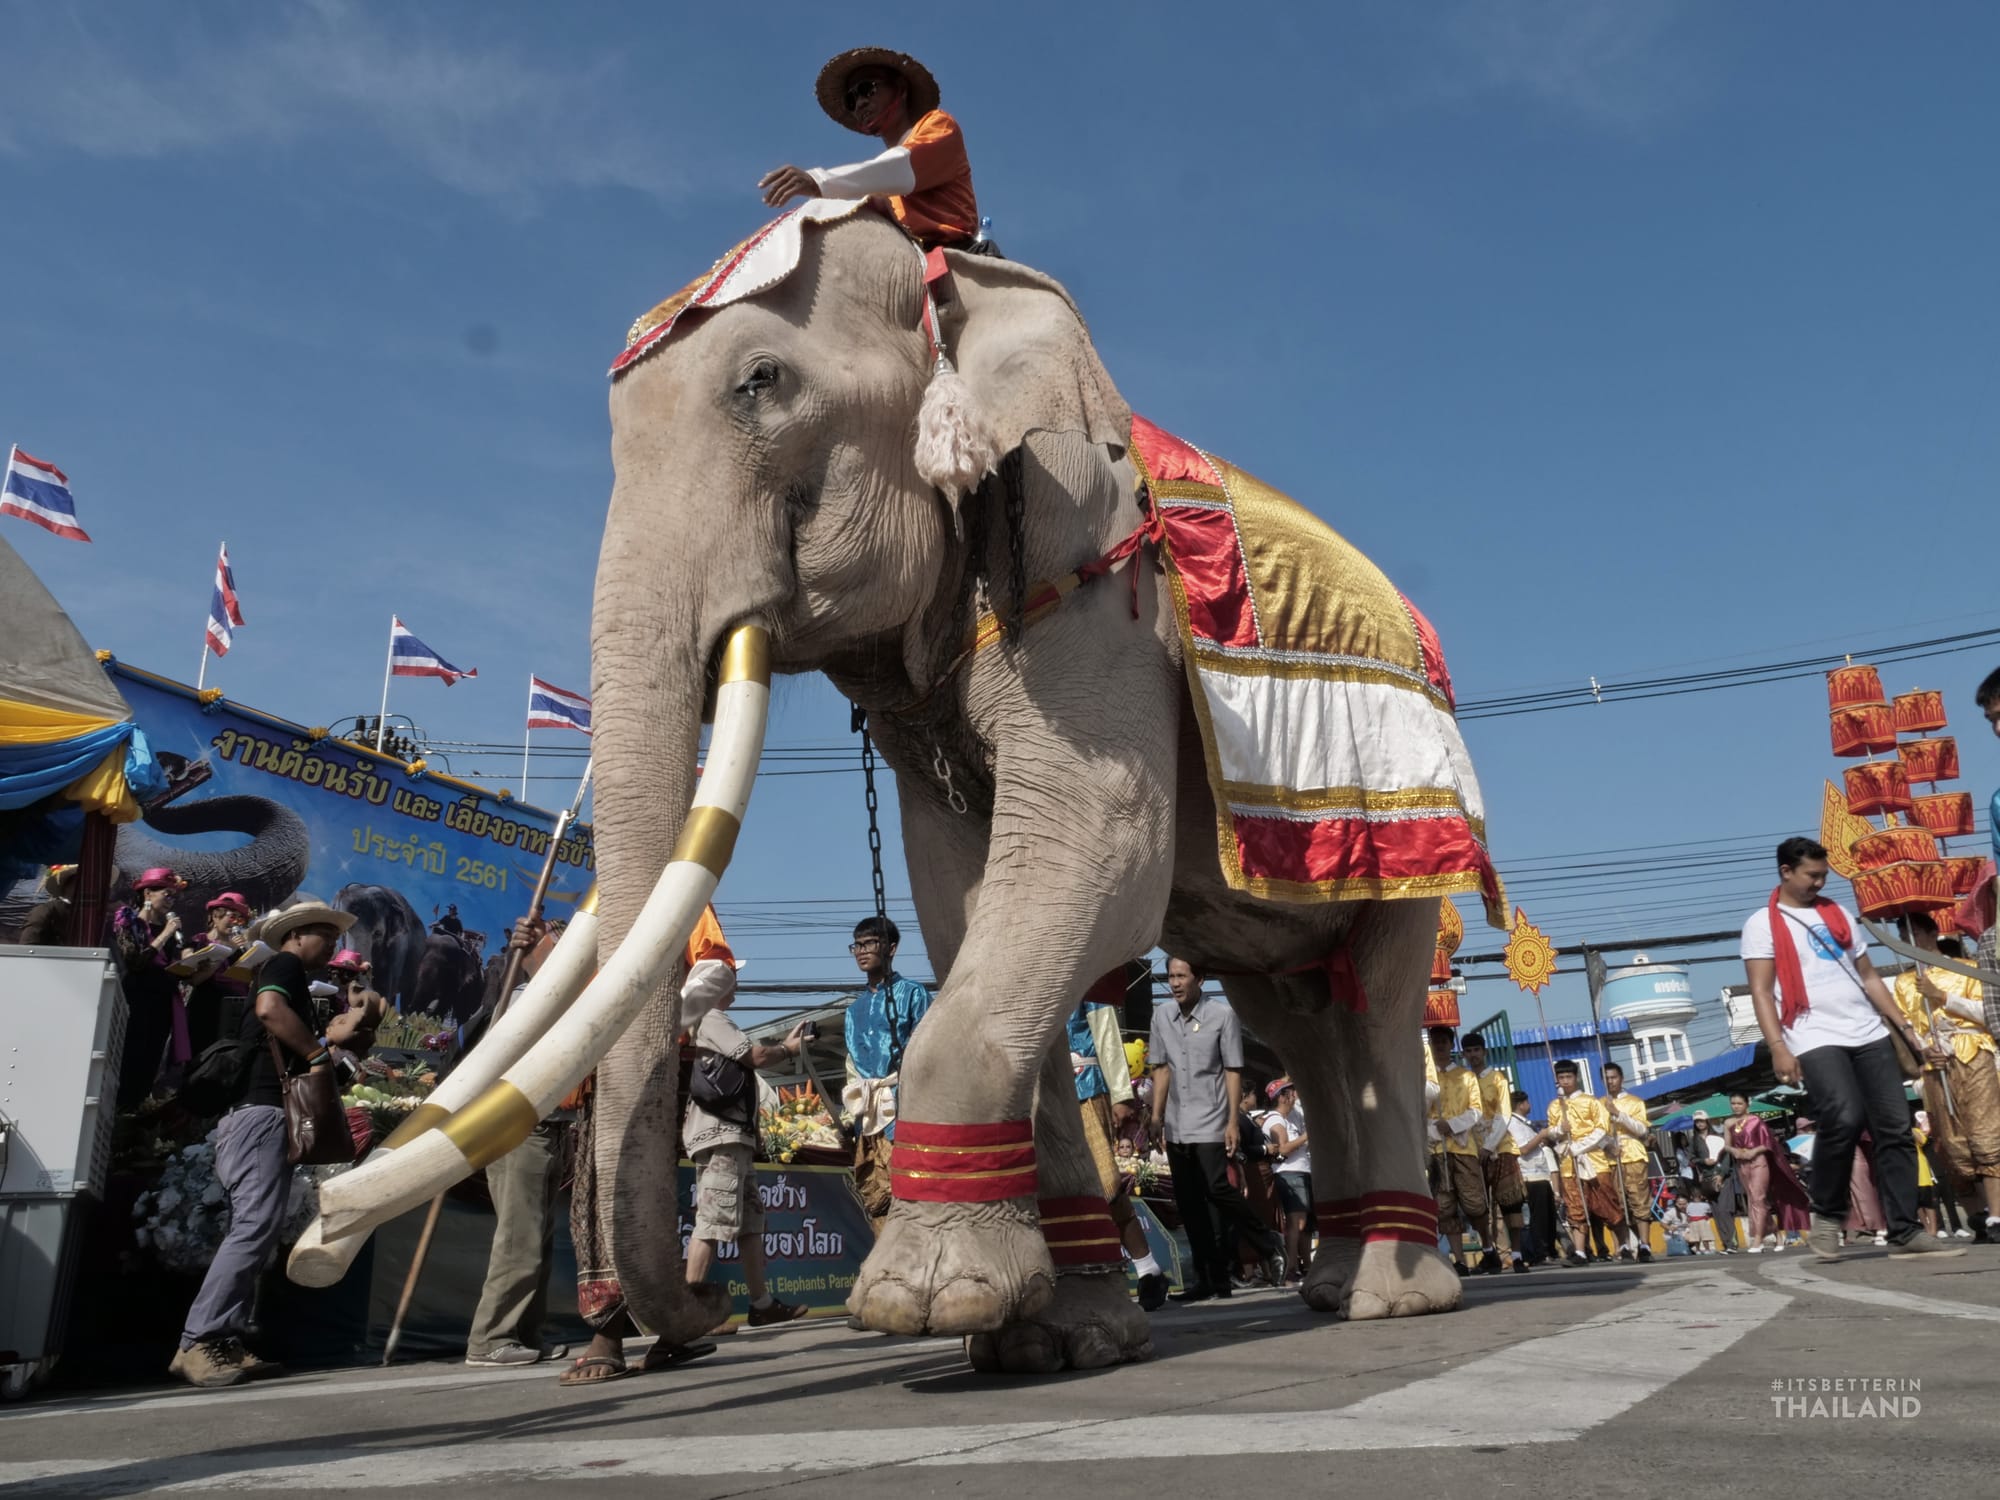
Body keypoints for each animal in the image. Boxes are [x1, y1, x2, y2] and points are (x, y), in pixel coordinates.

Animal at [561, 208, 1502, 1373]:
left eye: (760, 383)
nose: (703, 1311)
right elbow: (962, 909)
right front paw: (1049, 1338)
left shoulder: (1095, 589)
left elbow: (1098, 856)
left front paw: (921, 1302)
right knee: (1297, 1026)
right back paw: (1331, 1280)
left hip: (1409, 827)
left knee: (1373, 1006)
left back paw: (1390, 1296)